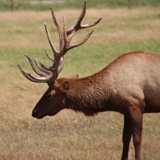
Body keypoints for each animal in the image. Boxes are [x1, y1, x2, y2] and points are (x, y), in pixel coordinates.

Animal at [18, 0, 160, 159]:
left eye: (49, 94)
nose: (34, 112)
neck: (109, 96)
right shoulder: (126, 110)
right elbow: (125, 139)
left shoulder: (136, 104)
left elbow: (137, 140)